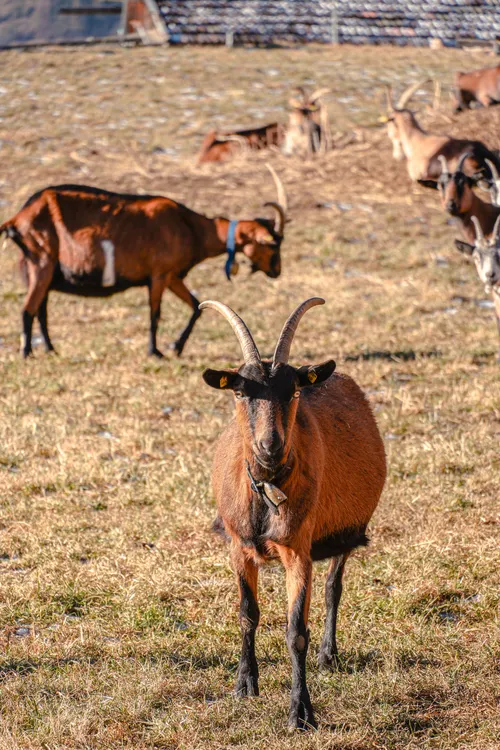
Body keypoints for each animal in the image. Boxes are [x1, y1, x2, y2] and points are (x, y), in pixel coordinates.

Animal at [0, 168, 287, 359]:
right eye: (272, 244)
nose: (276, 271)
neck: (190, 226)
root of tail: (18, 218)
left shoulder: (172, 276)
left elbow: (196, 307)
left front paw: (176, 347)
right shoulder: (159, 275)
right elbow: (155, 313)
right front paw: (155, 351)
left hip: (42, 270)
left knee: (41, 309)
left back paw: (50, 348)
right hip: (42, 262)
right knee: (28, 308)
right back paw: (27, 352)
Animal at [200, 298, 386, 730]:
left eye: (294, 390)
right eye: (240, 391)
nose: (270, 446)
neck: (267, 493)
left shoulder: (298, 551)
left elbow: (295, 631)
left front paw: (301, 713)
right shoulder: (237, 547)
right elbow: (247, 614)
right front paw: (244, 684)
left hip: (343, 531)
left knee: (334, 586)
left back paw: (328, 655)